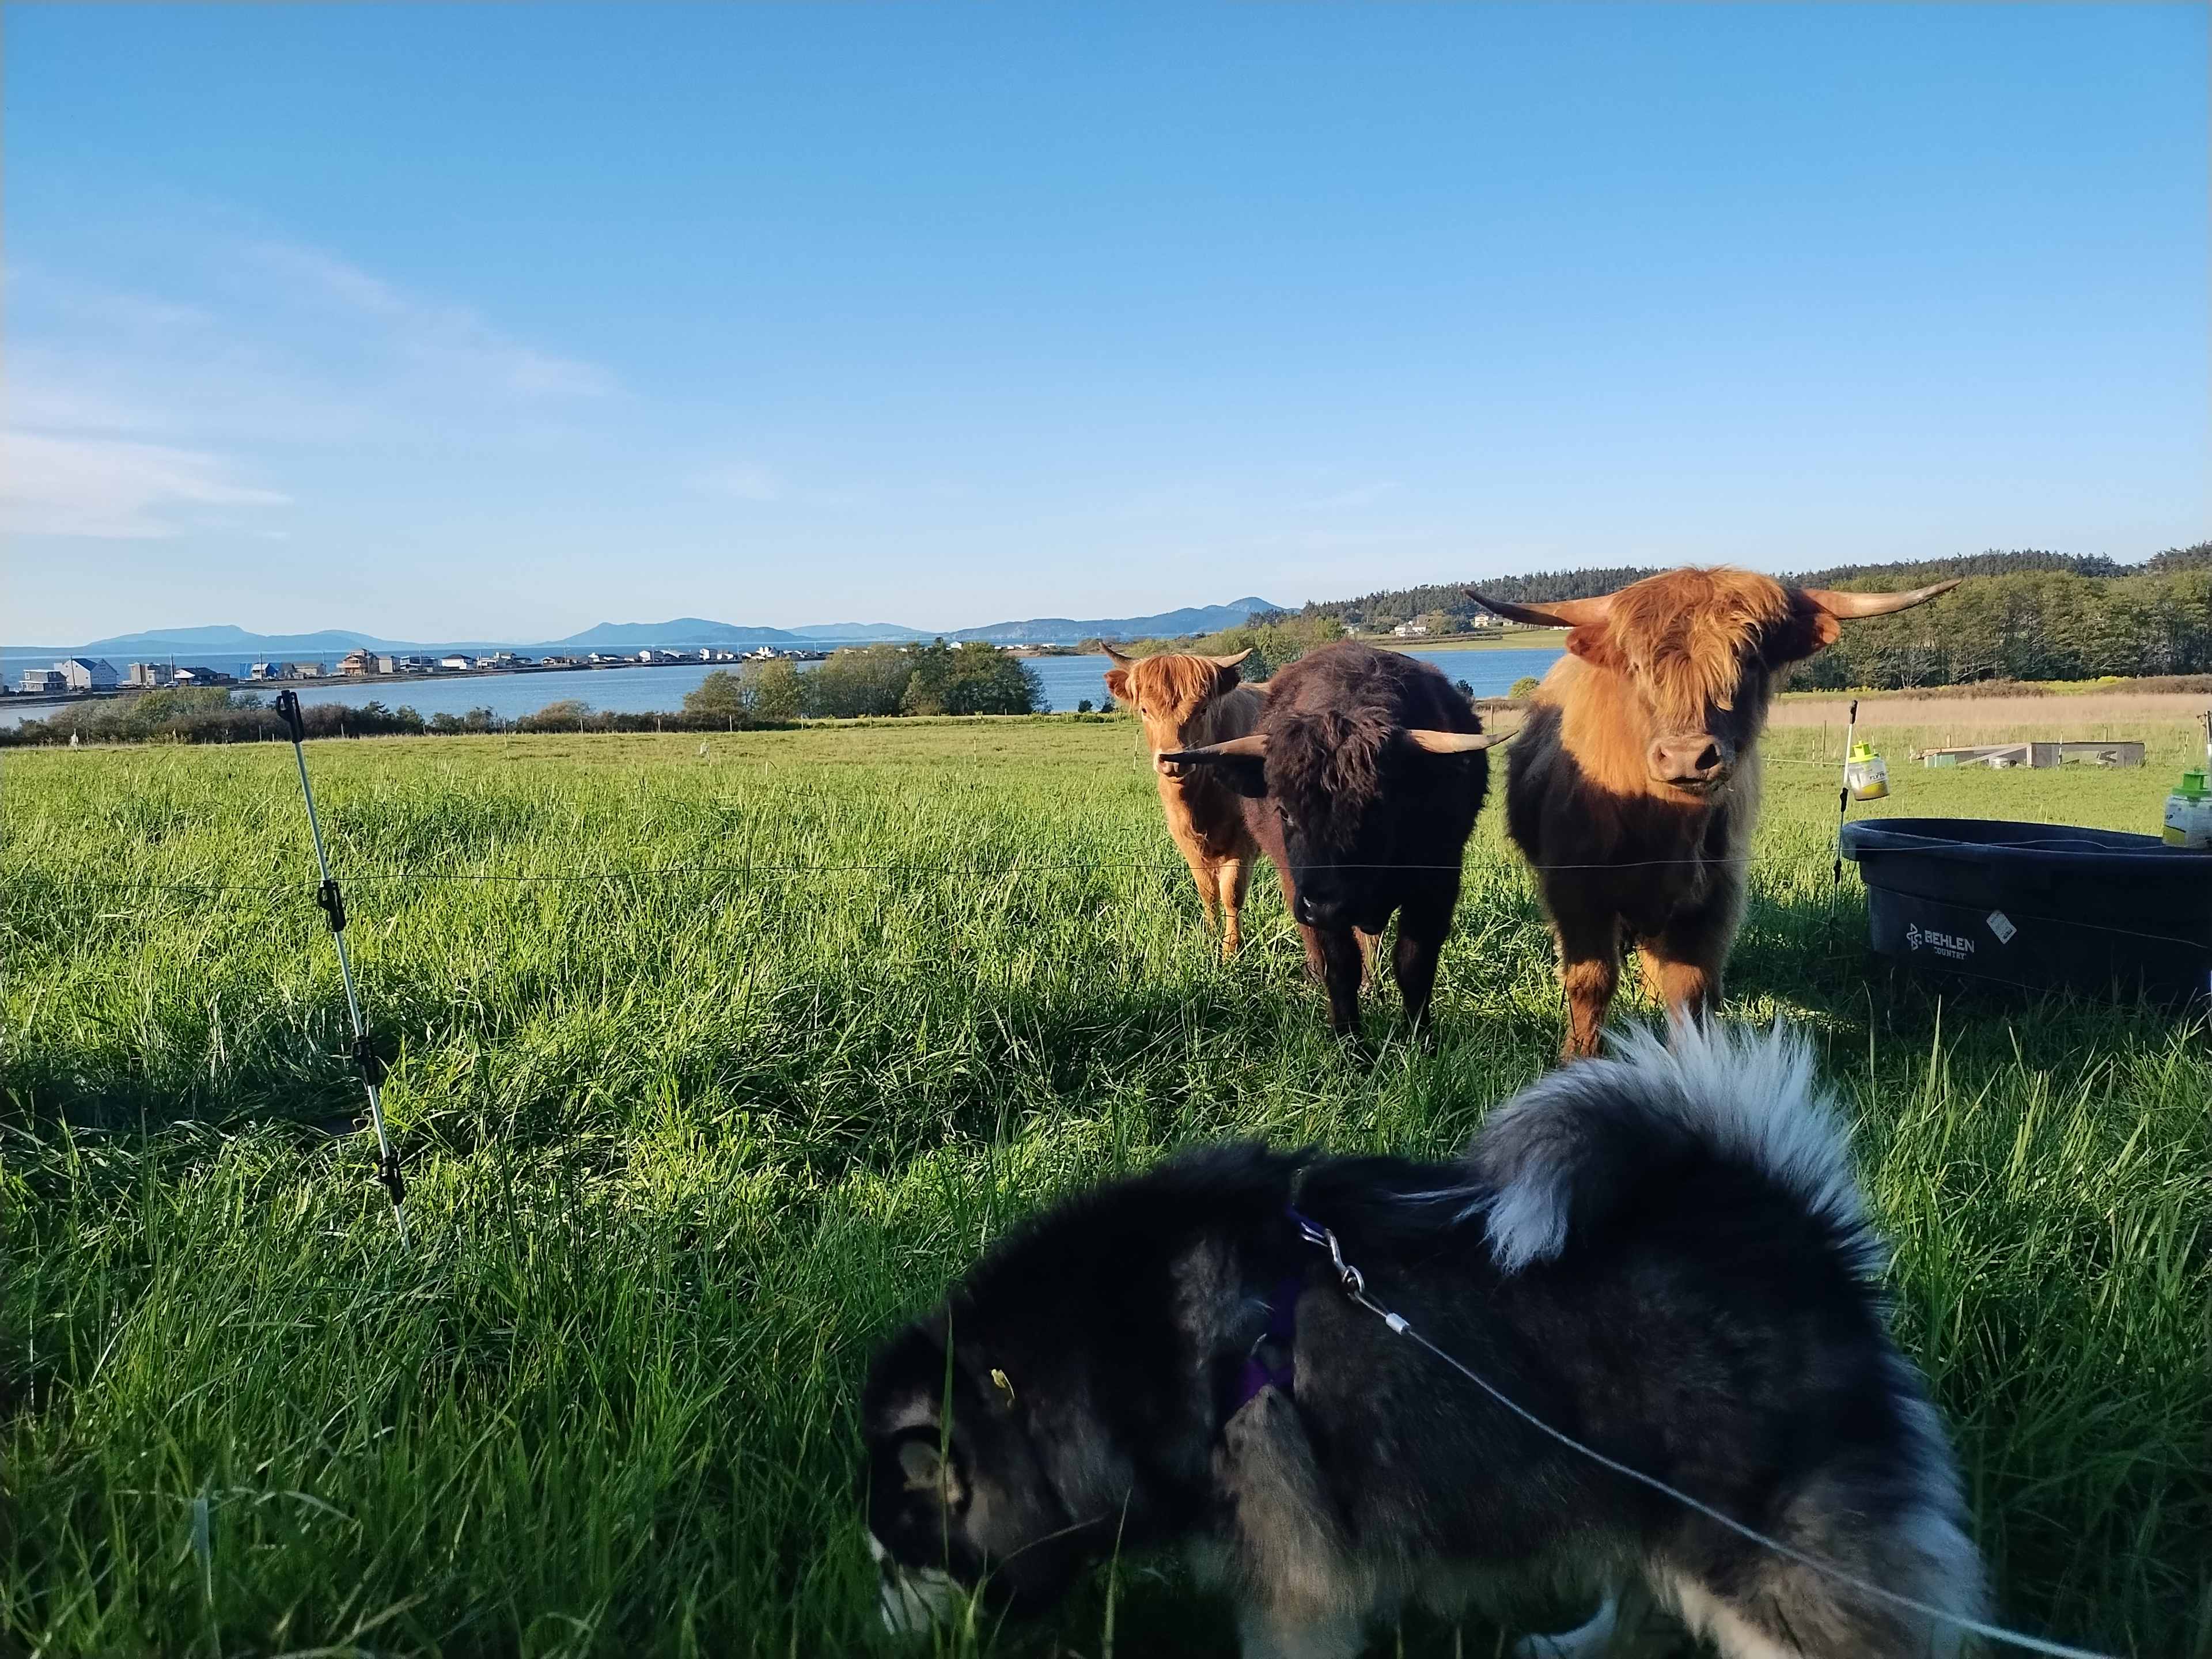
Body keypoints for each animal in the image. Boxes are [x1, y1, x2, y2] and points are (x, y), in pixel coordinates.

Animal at [1103, 646, 1272, 957]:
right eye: (1145, 710)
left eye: (1202, 709)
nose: (1173, 761)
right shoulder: (1186, 840)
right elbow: (1208, 891)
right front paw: (1209, 938)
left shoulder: (1243, 840)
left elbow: (1232, 894)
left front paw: (1230, 951)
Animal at [1162, 640, 1501, 1035]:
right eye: (1284, 811)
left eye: (1377, 808)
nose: (1323, 905)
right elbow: (1339, 967)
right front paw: (1350, 1039)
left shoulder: (1437, 881)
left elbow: (1414, 965)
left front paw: (1420, 1038)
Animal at [1469, 567, 1957, 1059]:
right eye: (1639, 667)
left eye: (1748, 658)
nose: (1686, 757)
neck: (1661, 830)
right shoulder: (1574, 889)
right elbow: (1590, 982)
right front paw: (1578, 1057)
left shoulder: (1714, 896)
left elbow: (1692, 990)